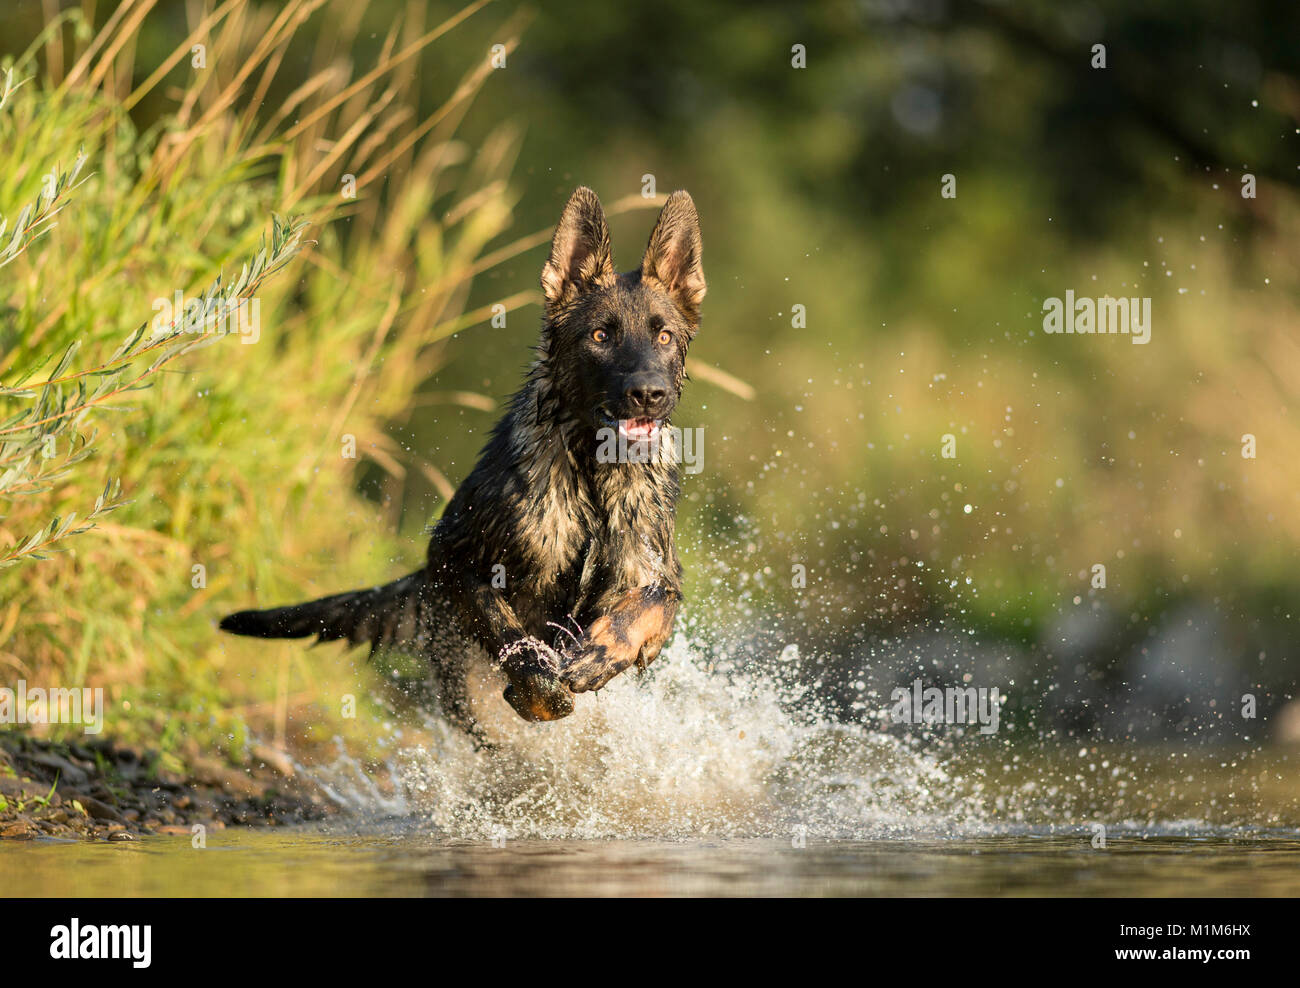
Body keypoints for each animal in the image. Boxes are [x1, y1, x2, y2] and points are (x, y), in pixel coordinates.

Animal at [223, 188, 712, 738]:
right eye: (601, 337)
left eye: (665, 337)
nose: (649, 394)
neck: (590, 474)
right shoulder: (455, 559)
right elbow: (506, 633)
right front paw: (538, 683)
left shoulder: (658, 578)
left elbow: (644, 609)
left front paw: (601, 652)